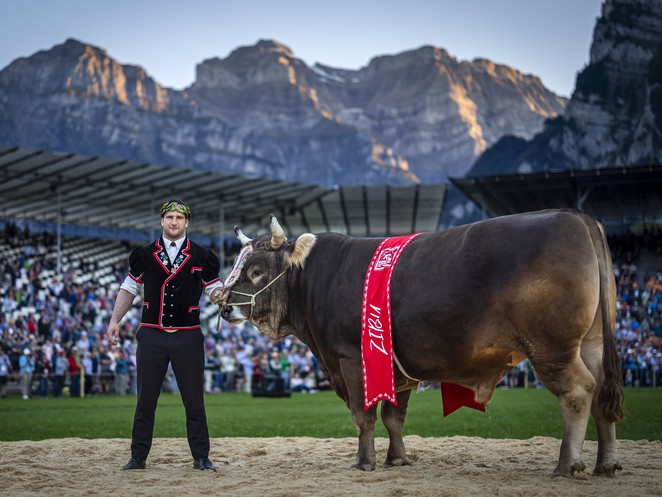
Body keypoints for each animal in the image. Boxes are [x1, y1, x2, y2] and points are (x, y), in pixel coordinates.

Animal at [220, 209, 624, 478]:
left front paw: (364, 462)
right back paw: (606, 463)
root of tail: (576, 217)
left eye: (256, 269)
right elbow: (393, 415)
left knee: (578, 392)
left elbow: (364, 416)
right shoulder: (397, 365)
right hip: (592, 344)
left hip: (552, 347)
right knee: (602, 392)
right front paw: (397, 459)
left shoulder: (352, 359)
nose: (223, 306)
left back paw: (567, 464)